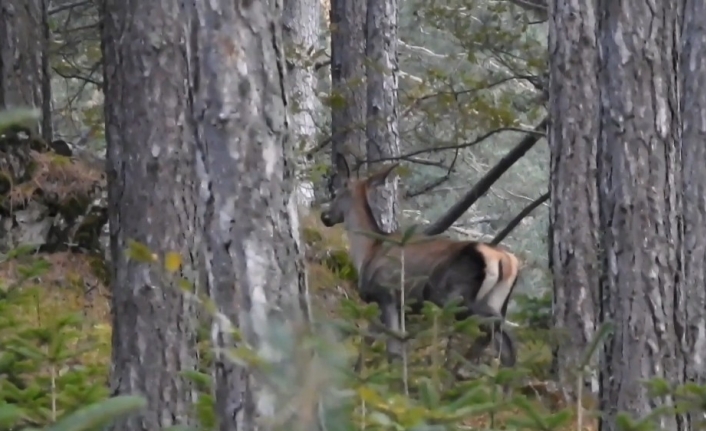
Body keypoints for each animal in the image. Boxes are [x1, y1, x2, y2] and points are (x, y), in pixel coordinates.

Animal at [318, 154, 516, 370]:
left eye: (336, 193)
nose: (325, 216)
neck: (368, 250)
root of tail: (506, 261)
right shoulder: (390, 306)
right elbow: (367, 344)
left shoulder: (386, 294)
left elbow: (393, 349)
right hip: (495, 300)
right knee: (503, 343)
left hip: (456, 296)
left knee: (495, 330)